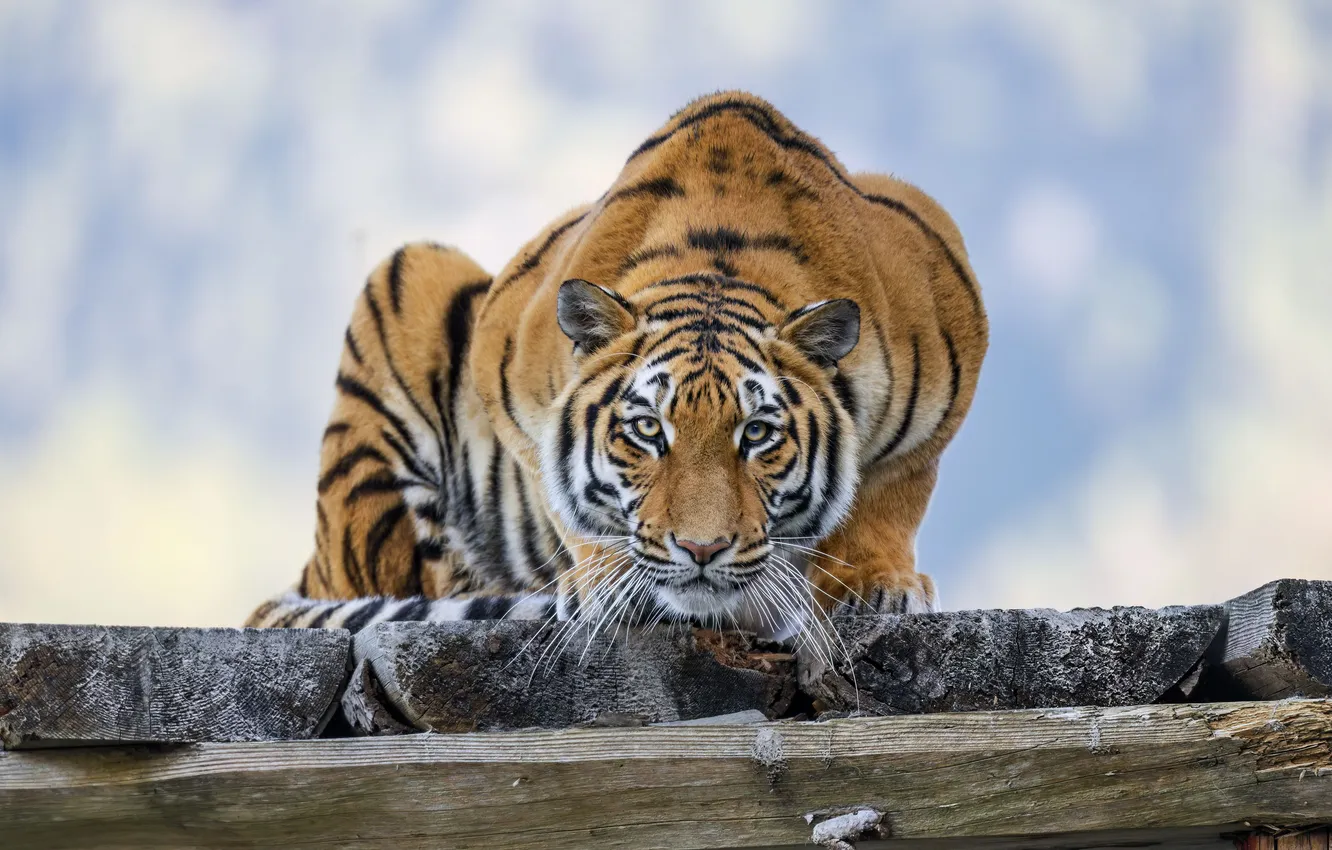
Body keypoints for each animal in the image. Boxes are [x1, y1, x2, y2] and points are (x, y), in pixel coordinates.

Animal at [247, 90, 987, 655]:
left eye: (757, 434)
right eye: (646, 430)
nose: (701, 550)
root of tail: (316, 563)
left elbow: (893, 488)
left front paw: (875, 583)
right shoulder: (506, 364)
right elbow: (562, 492)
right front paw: (604, 582)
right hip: (408, 278)